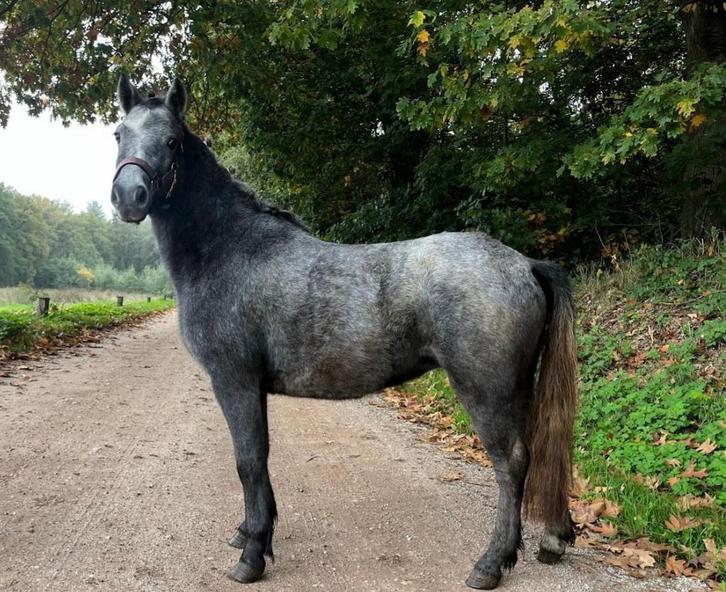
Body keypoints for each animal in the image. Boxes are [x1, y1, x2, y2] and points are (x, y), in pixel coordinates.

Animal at [110, 74, 578, 590]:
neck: (228, 248)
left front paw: (252, 555)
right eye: (118, 134)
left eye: (172, 141)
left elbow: (248, 460)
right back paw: (552, 540)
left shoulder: (234, 380)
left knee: (510, 462)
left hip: (486, 388)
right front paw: (250, 534)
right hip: (519, 387)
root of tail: (524, 264)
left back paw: (491, 562)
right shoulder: (253, 388)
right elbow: (260, 458)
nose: (129, 197)